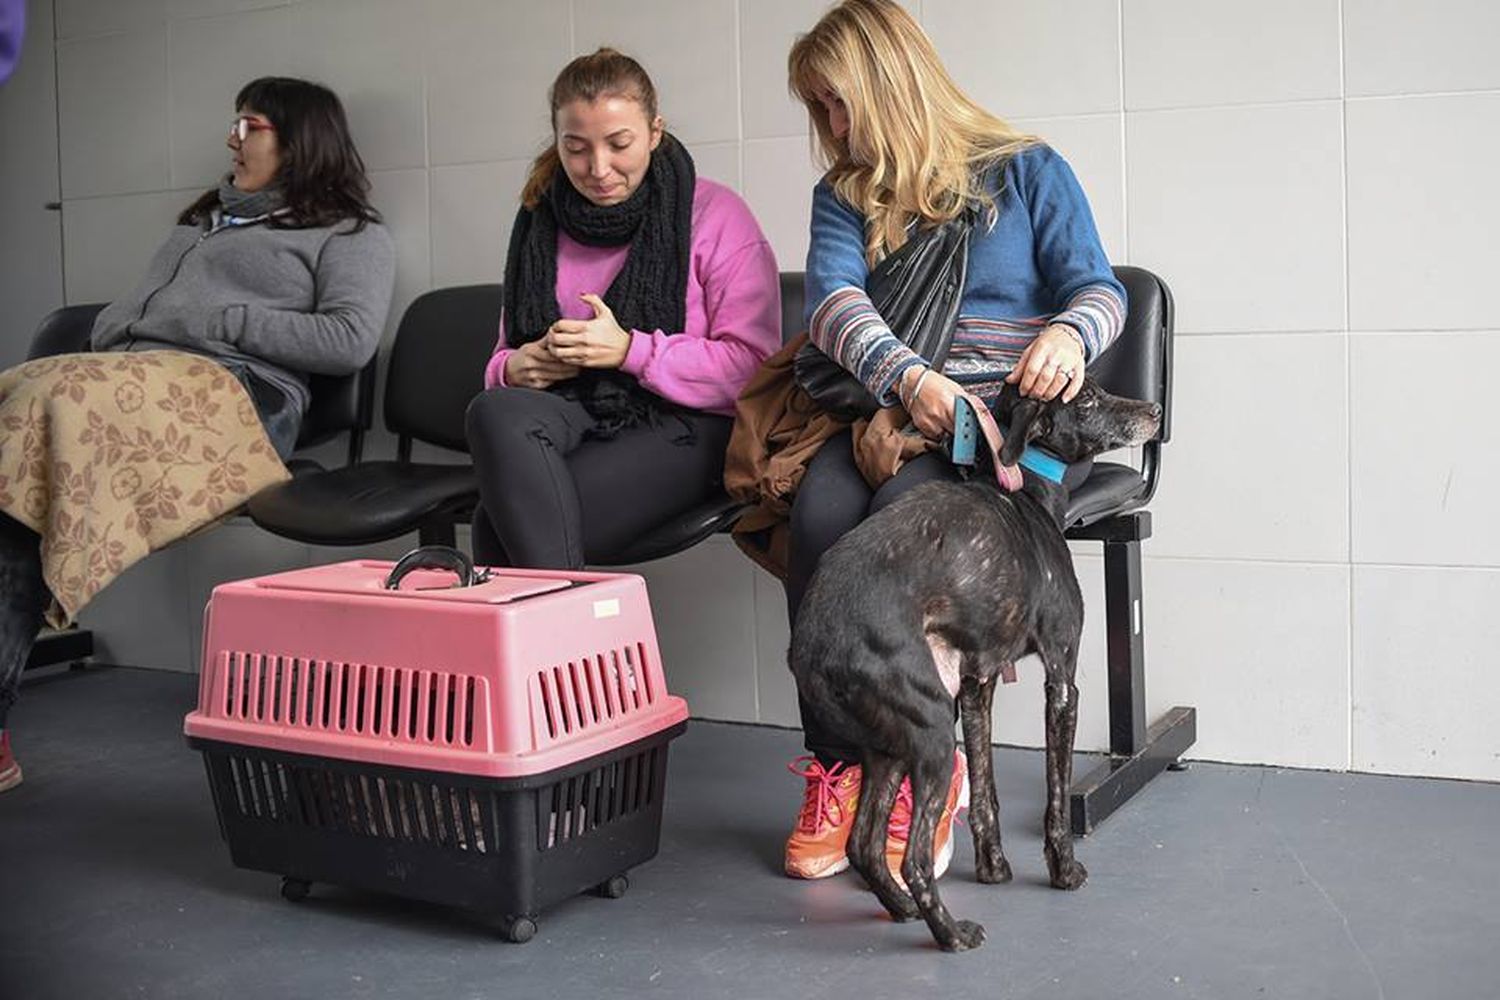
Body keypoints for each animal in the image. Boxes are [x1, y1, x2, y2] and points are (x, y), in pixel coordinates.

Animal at [792, 377, 1164, 953]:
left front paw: (993, 868)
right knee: (915, 861)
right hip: (930, 735)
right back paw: (952, 933)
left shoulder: (976, 682)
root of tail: (811, 644)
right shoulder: (1063, 680)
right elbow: (1057, 797)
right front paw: (1064, 871)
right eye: (1086, 399)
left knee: (865, 845)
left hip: (888, 747)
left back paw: (900, 907)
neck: (1028, 488)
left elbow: (987, 788)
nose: (1155, 409)